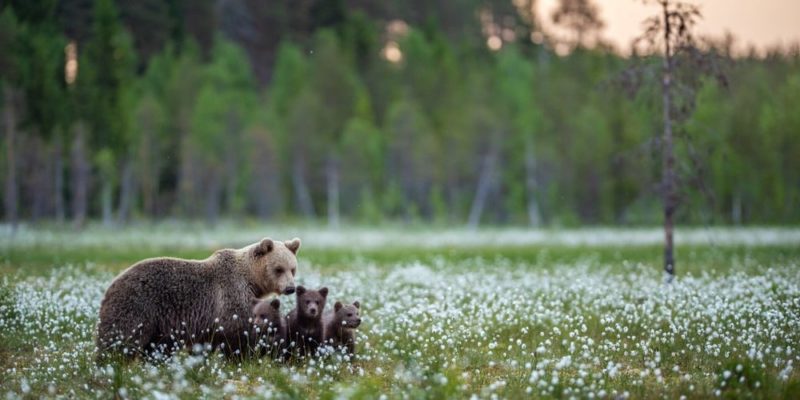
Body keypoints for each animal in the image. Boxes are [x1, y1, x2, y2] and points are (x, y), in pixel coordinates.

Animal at [96, 236, 300, 360]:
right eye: (278, 269)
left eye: (293, 268)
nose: (290, 288)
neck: (251, 279)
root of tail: (112, 284)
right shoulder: (231, 296)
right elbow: (235, 332)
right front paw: (242, 356)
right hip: (137, 306)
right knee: (121, 337)